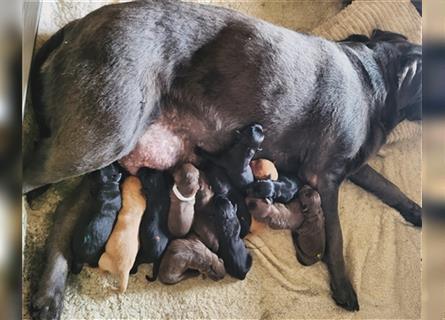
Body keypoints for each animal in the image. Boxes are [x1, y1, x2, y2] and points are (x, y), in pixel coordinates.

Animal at [24, 0, 420, 316]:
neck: (372, 78)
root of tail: (79, 24)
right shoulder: (326, 177)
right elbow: (336, 236)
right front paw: (343, 285)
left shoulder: (352, 170)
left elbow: (388, 186)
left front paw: (415, 210)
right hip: (101, 139)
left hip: (107, 155)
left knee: (64, 212)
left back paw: (49, 293)